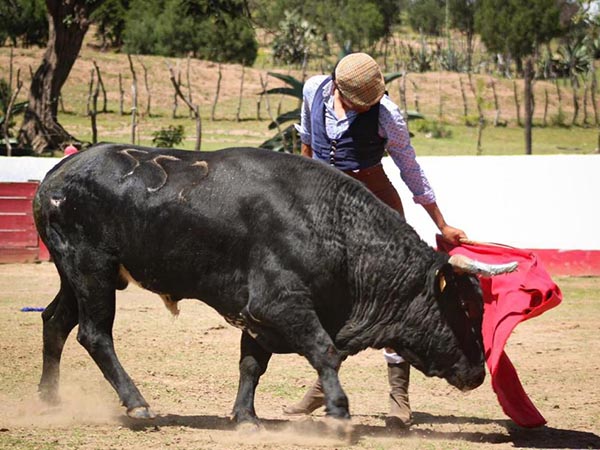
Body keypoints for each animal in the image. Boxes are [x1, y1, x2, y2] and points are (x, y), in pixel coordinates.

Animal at [34, 145, 506, 426]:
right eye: (465, 308)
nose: (478, 374)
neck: (337, 231)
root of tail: (56, 174)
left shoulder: (258, 316)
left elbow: (251, 364)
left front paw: (246, 417)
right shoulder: (280, 304)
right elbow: (325, 351)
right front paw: (339, 413)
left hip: (77, 275)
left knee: (54, 321)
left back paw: (50, 399)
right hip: (92, 269)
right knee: (95, 334)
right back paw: (138, 404)